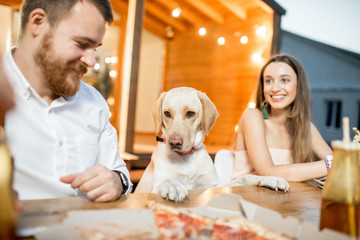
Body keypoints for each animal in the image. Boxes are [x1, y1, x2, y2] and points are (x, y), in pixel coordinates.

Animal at [135, 87, 290, 202]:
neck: (187, 158)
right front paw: (173, 186)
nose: (174, 143)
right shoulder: (155, 187)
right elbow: (166, 181)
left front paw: (270, 179)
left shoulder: (214, 186)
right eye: (167, 113)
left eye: (190, 113)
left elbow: (246, 177)